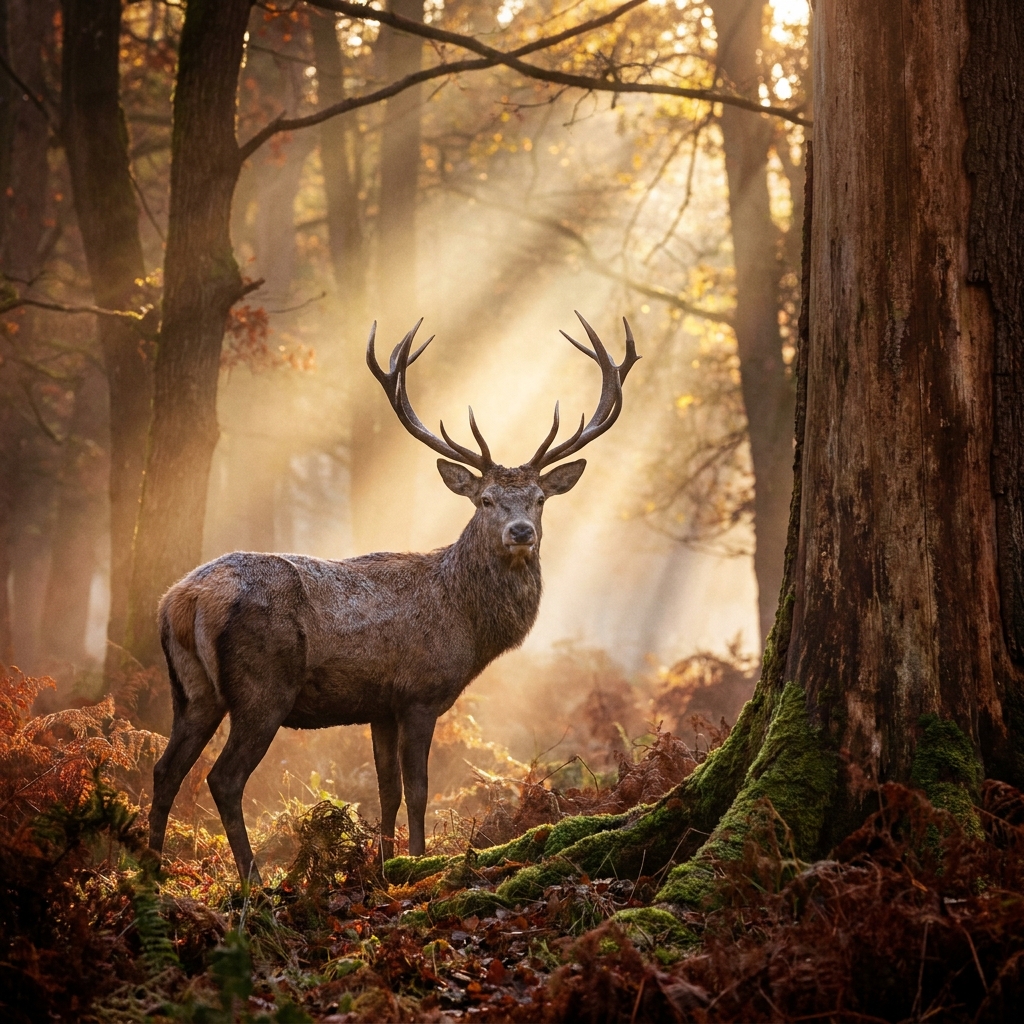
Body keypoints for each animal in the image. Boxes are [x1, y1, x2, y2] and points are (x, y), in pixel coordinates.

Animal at [146, 312, 639, 883]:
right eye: (486, 499)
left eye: (539, 499)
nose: (520, 532)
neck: (466, 623)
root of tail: (184, 599)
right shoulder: (419, 692)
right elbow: (420, 789)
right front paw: (419, 862)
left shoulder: (378, 704)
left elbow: (387, 790)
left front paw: (384, 866)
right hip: (261, 686)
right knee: (223, 778)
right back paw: (253, 882)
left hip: (191, 689)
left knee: (165, 769)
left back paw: (149, 870)